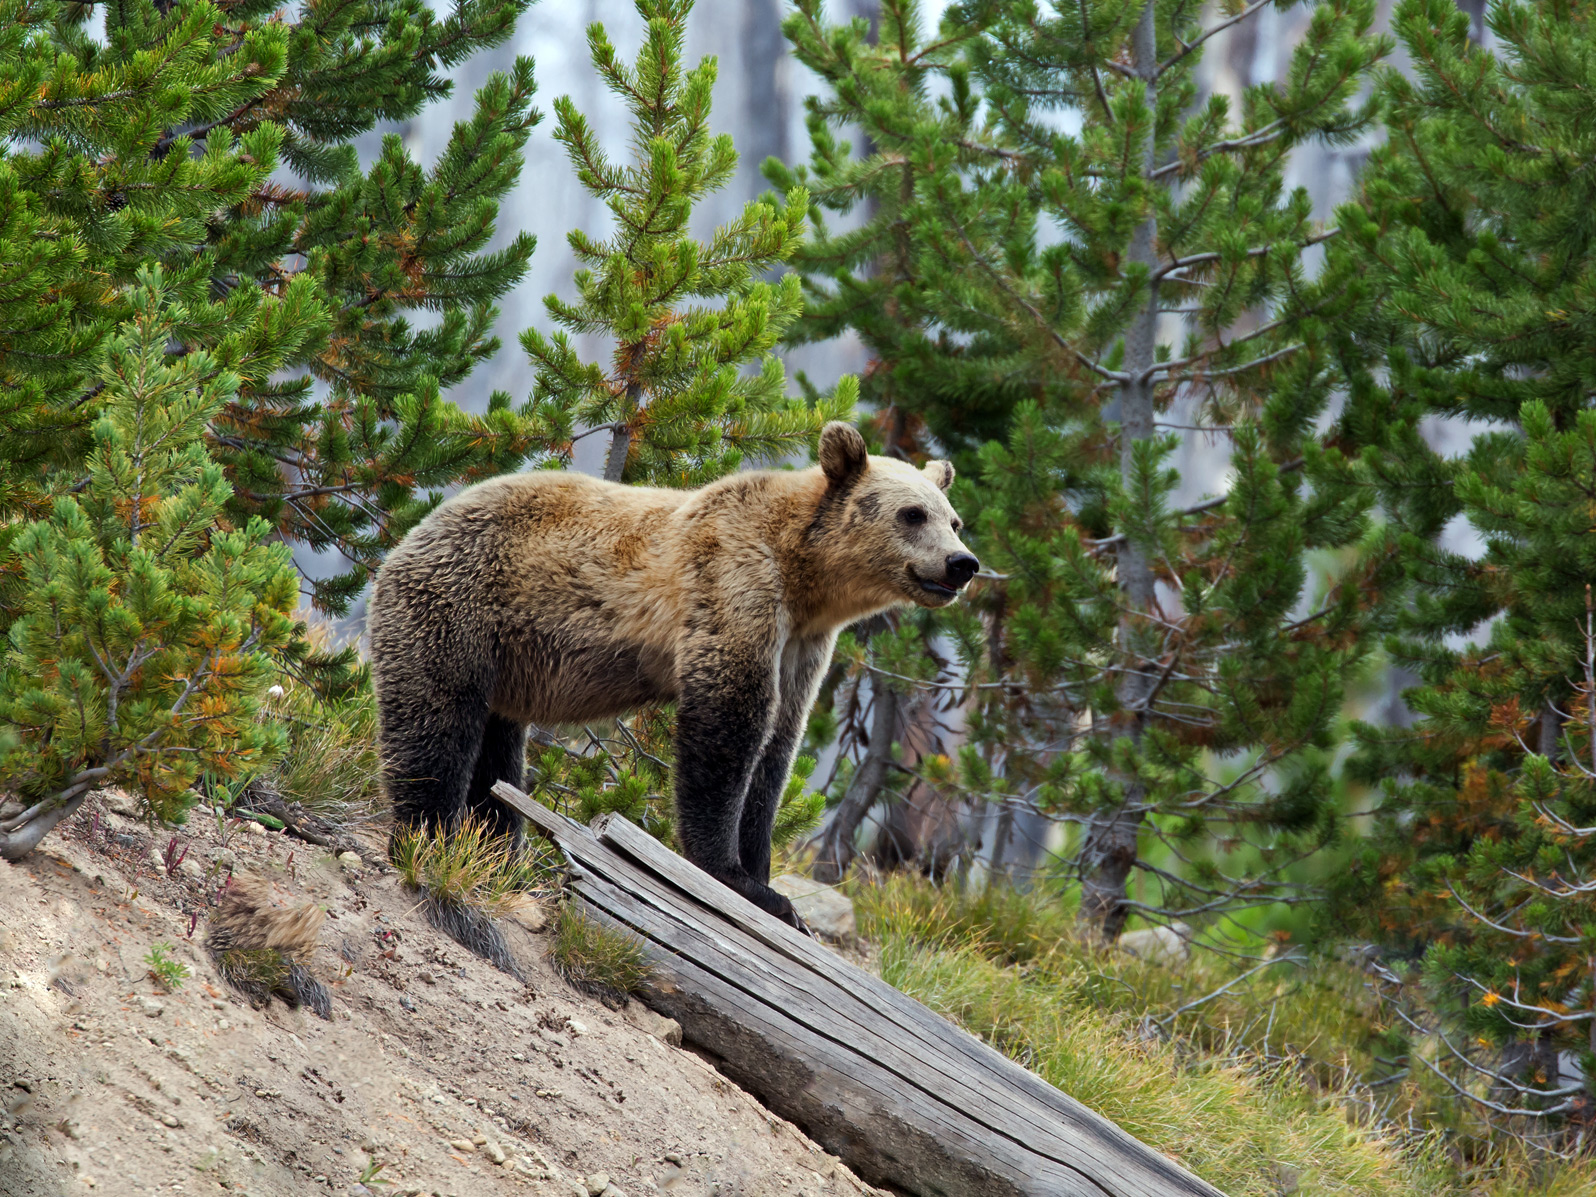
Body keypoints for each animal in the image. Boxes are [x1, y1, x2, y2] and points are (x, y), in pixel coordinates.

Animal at [367, 422, 977, 929]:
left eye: (954, 520)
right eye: (912, 514)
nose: (962, 564)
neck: (804, 577)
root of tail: (411, 535)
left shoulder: (803, 646)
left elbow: (778, 748)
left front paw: (767, 880)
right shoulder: (734, 583)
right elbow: (729, 725)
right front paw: (737, 877)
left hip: (507, 664)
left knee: (497, 762)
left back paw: (494, 853)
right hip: (459, 606)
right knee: (436, 726)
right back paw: (429, 840)